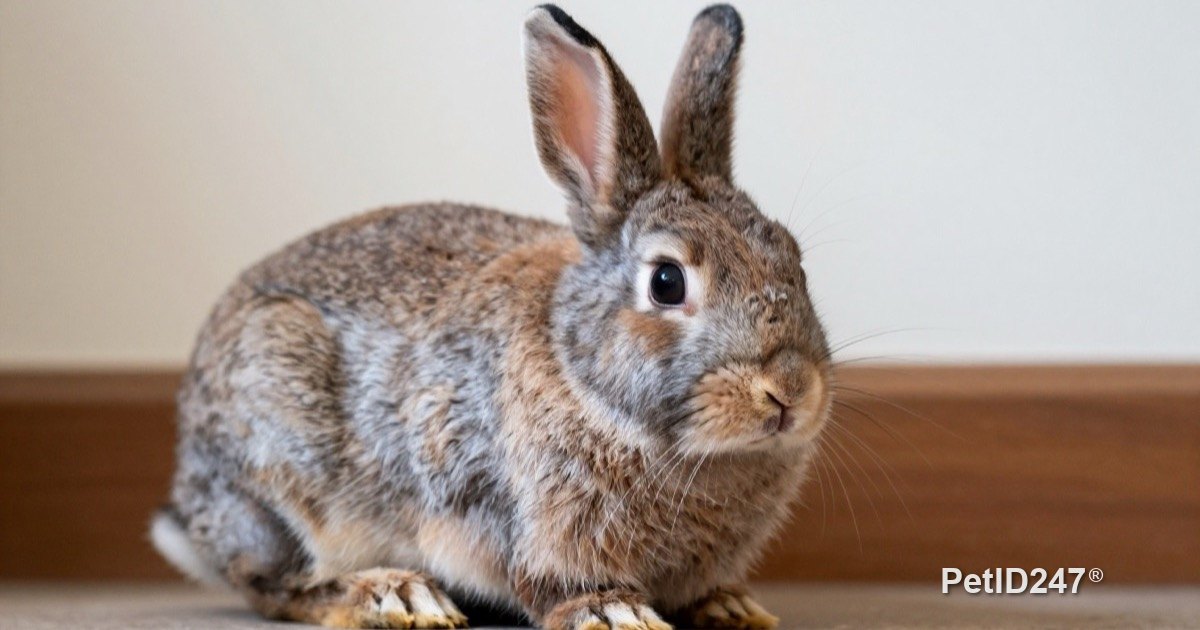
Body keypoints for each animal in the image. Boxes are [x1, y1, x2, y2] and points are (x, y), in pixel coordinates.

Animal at [150, 4, 832, 629]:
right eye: (667, 282)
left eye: (794, 259)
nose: (790, 390)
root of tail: (189, 508)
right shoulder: (509, 511)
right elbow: (548, 583)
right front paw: (613, 613)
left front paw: (729, 605)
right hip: (277, 473)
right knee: (274, 584)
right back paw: (394, 595)